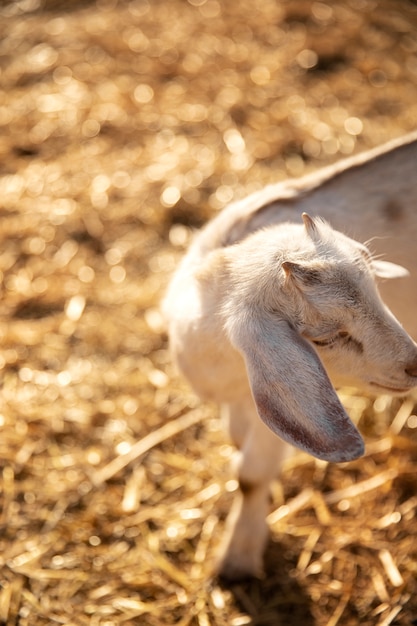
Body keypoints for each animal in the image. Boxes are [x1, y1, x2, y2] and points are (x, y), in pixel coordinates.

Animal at [163, 132, 417, 580]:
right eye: (326, 337)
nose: (416, 364)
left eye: (377, 290)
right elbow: (236, 441)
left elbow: (249, 474)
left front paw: (238, 558)